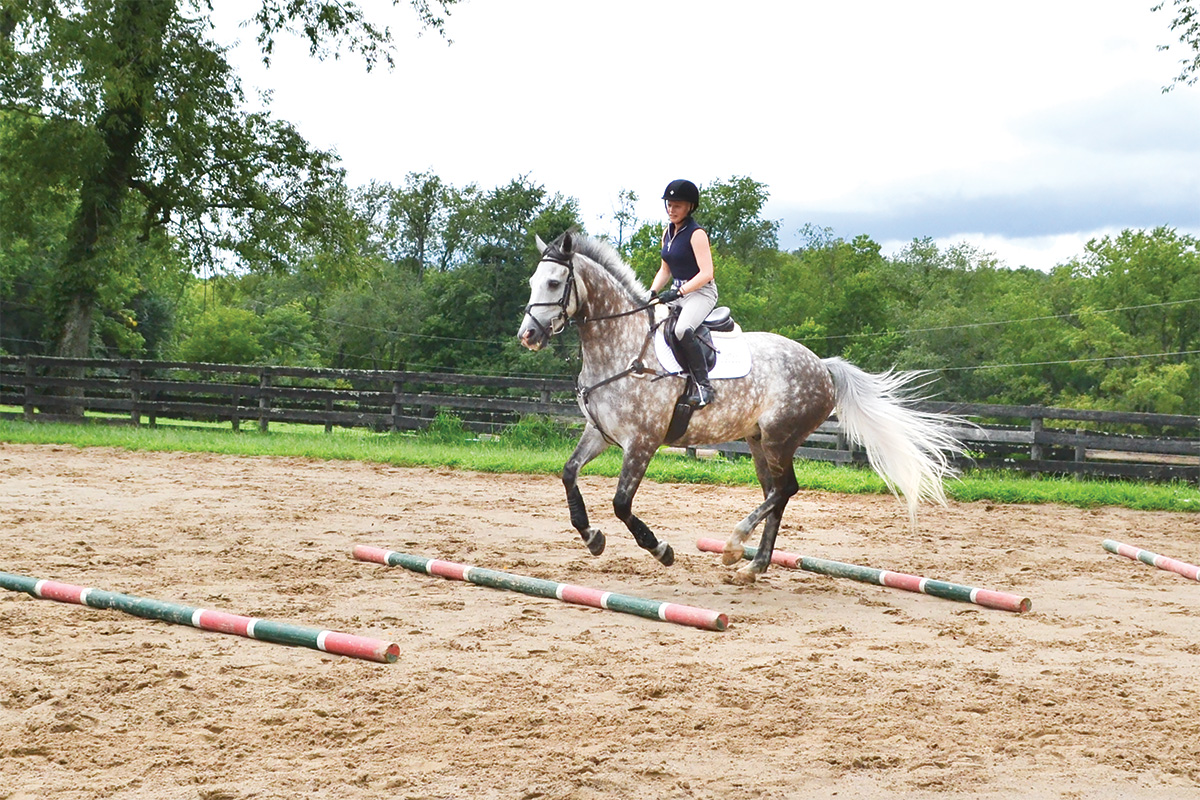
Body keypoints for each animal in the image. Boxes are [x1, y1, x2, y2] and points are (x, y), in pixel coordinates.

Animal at [516, 231, 964, 582]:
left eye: (554, 283)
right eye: (532, 281)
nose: (528, 335)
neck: (623, 348)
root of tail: (822, 365)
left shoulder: (642, 442)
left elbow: (622, 504)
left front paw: (661, 550)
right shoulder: (601, 433)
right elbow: (568, 474)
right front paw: (592, 538)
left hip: (781, 438)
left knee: (784, 489)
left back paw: (735, 545)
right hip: (758, 440)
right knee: (777, 493)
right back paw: (755, 565)